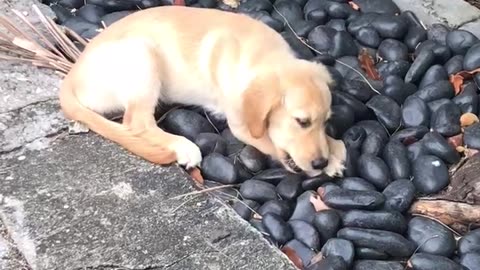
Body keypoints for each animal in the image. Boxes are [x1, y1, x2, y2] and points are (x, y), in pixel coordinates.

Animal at [58, 5, 346, 177]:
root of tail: (72, 73)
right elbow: (269, 141)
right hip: (143, 55)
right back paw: (184, 147)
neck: (262, 55)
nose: (320, 163)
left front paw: (334, 149)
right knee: (137, 123)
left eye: (326, 122)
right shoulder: (240, 124)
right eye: (301, 121)